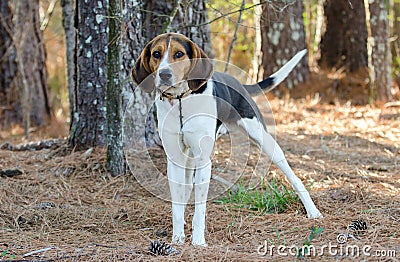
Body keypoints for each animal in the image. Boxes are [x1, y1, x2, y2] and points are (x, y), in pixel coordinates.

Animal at [133, 33, 324, 248]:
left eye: (179, 54)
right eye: (156, 54)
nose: (164, 74)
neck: (181, 99)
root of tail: (239, 83)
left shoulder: (204, 161)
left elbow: (200, 209)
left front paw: (198, 240)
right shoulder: (174, 160)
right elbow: (177, 204)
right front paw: (177, 237)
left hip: (265, 140)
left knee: (293, 175)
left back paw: (312, 211)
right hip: (189, 158)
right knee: (186, 188)